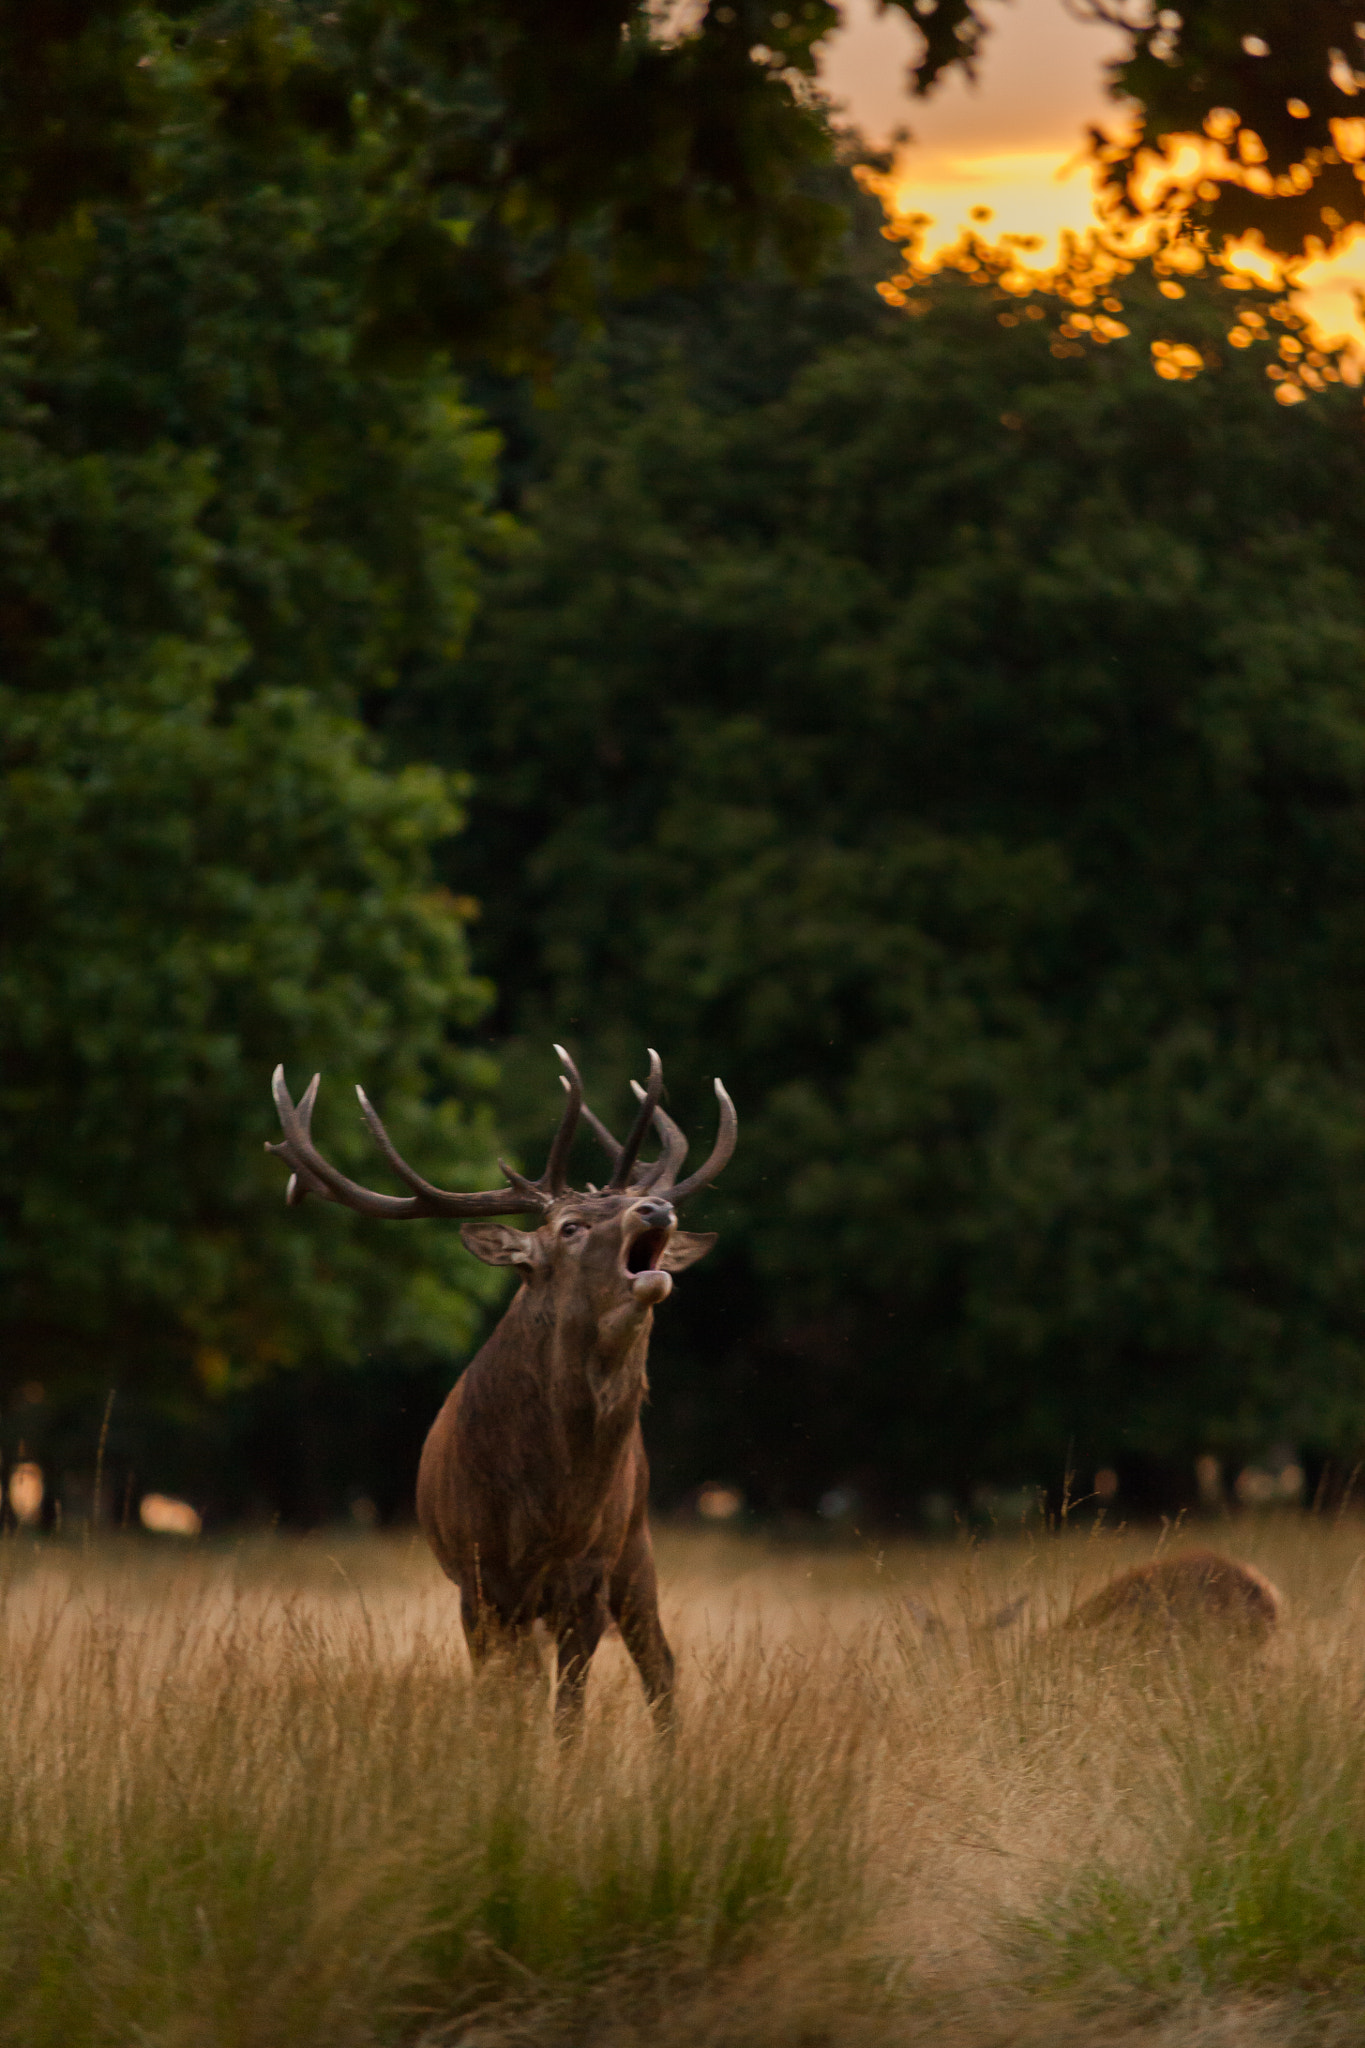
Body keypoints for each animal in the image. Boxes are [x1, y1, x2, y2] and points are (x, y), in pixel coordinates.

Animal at [270, 1040, 736, 1728]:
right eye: (570, 1226)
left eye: (636, 1204)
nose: (658, 1207)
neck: (545, 1505)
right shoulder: (478, 1579)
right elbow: (501, 1699)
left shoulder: (585, 1578)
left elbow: (567, 1708)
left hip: (637, 1543)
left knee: (660, 1664)